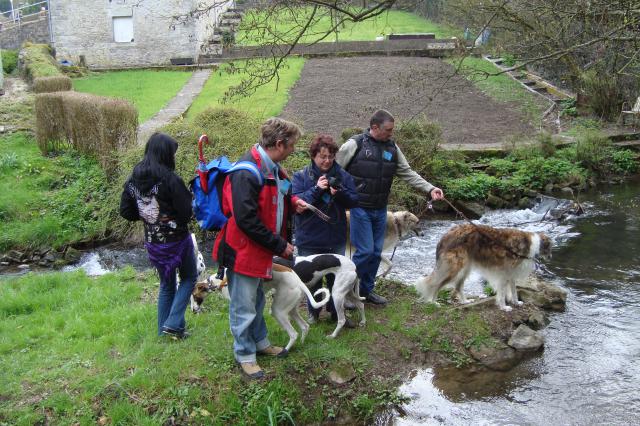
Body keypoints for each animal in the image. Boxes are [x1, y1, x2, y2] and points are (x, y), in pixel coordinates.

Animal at [416, 225, 552, 312]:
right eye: (550, 247)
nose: (551, 257)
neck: (531, 245)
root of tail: (445, 236)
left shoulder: (511, 274)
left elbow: (513, 291)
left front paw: (516, 302)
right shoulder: (504, 275)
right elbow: (502, 294)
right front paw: (504, 307)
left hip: (465, 269)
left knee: (458, 286)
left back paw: (465, 302)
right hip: (453, 269)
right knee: (435, 284)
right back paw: (433, 302)